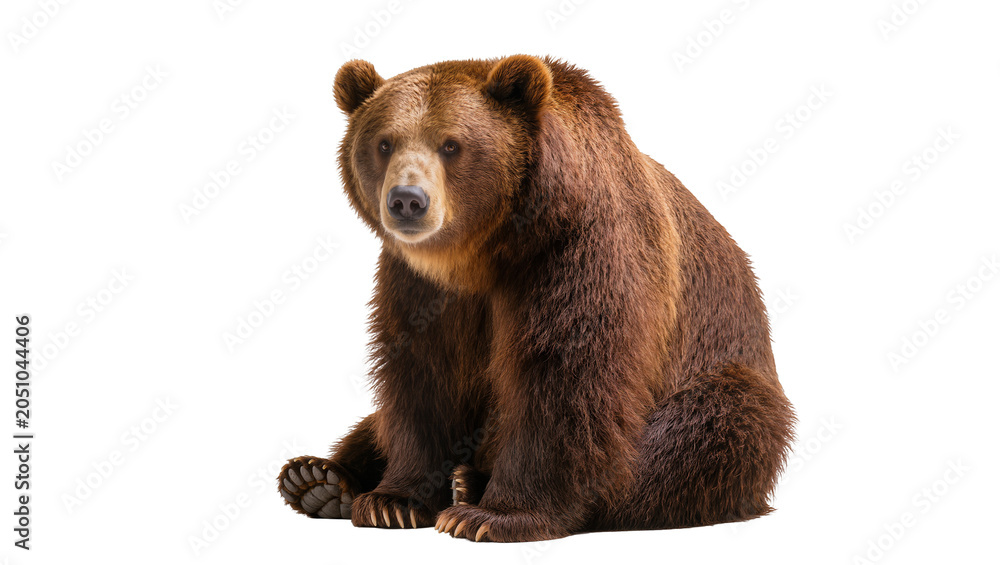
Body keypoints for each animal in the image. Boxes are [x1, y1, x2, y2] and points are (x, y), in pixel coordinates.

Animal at [277, 55, 795, 542]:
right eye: (384, 143)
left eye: (451, 144)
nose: (407, 200)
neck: (485, 253)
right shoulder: (420, 286)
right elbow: (422, 376)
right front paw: (392, 500)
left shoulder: (579, 249)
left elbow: (564, 377)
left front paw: (491, 516)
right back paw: (318, 479)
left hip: (716, 374)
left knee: (709, 430)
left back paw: (471, 483)